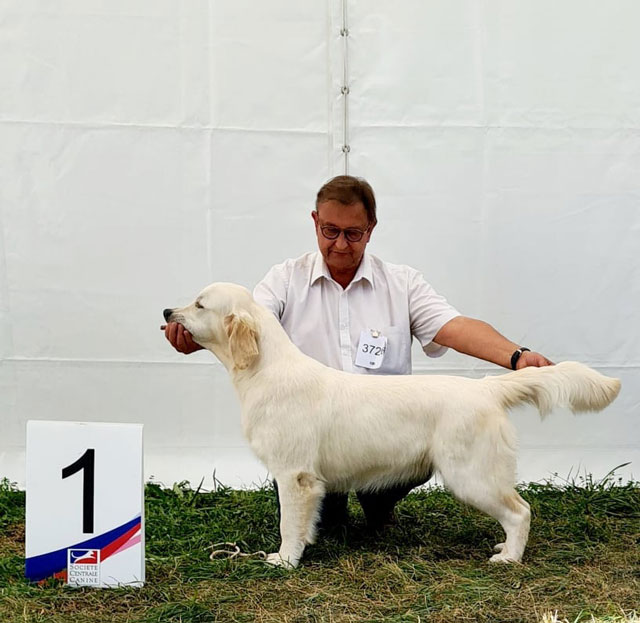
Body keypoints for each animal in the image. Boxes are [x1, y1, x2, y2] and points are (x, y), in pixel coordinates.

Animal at [162, 286, 624, 568]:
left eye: (200, 304)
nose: (167, 310)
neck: (266, 371)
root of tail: (486, 388)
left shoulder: (295, 475)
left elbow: (287, 525)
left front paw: (285, 561)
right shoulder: (305, 480)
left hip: (471, 475)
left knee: (520, 511)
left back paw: (509, 557)